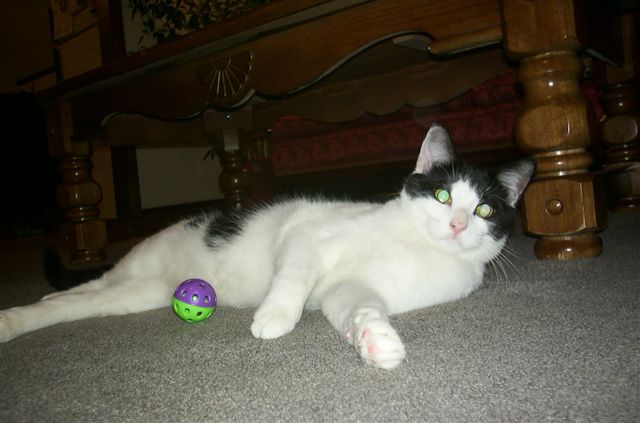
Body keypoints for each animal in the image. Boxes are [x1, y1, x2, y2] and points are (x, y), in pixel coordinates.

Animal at [0, 125, 535, 369]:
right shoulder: (307, 235)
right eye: (443, 195)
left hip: (134, 295)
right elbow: (295, 274)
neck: (416, 245)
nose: (458, 224)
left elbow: (354, 303)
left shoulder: (352, 288)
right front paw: (275, 316)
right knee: (73, 292)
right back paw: (13, 318)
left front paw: (375, 339)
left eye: (485, 210)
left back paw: (27, 313)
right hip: (134, 271)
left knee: (73, 300)